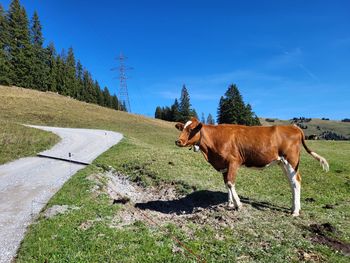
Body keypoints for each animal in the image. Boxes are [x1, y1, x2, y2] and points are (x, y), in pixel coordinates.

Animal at [176, 117, 330, 217]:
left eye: (191, 129)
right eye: (182, 128)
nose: (178, 141)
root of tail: (293, 127)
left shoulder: (233, 162)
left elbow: (230, 183)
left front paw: (238, 205)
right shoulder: (224, 164)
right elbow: (226, 184)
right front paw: (229, 204)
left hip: (291, 160)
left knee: (296, 181)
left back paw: (295, 211)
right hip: (283, 163)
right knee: (292, 182)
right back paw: (293, 207)